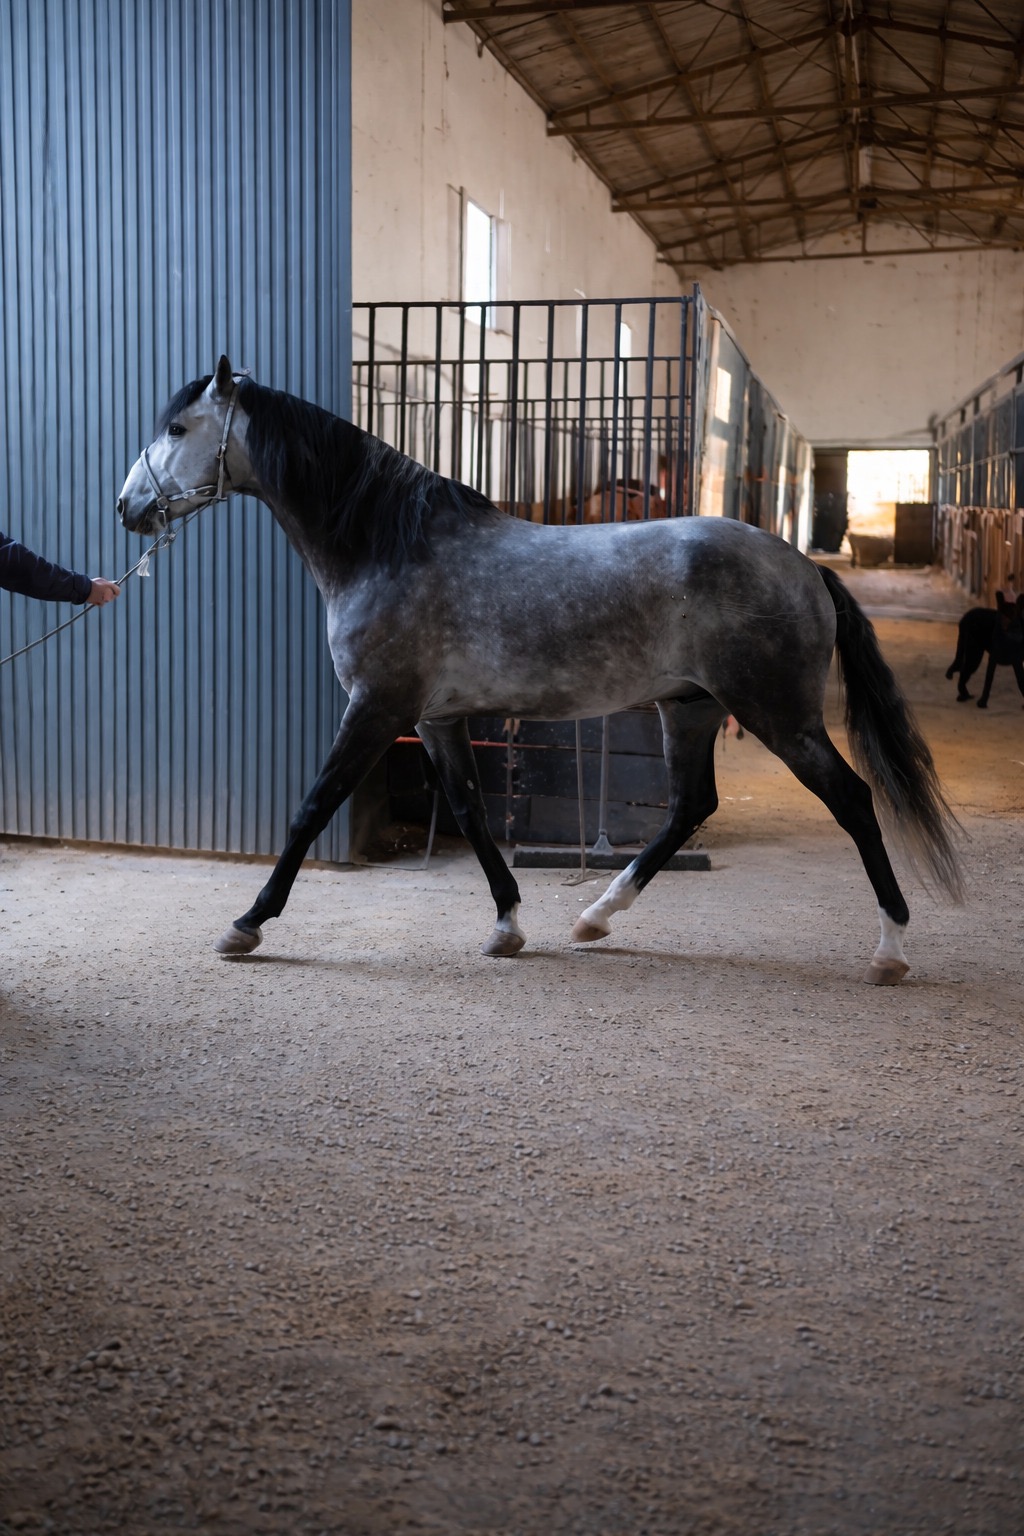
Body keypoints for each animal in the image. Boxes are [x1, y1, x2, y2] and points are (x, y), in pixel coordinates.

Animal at [116, 358, 962, 985]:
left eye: (178, 427)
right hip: (689, 708)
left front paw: (246, 924)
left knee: (852, 800)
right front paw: (508, 925)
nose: (128, 508)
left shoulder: (377, 708)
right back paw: (594, 917)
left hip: (778, 716)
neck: (389, 546)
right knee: (691, 806)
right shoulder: (436, 718)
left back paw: (890, 950)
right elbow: (470, 811)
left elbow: (312, 808)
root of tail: (806, 567)